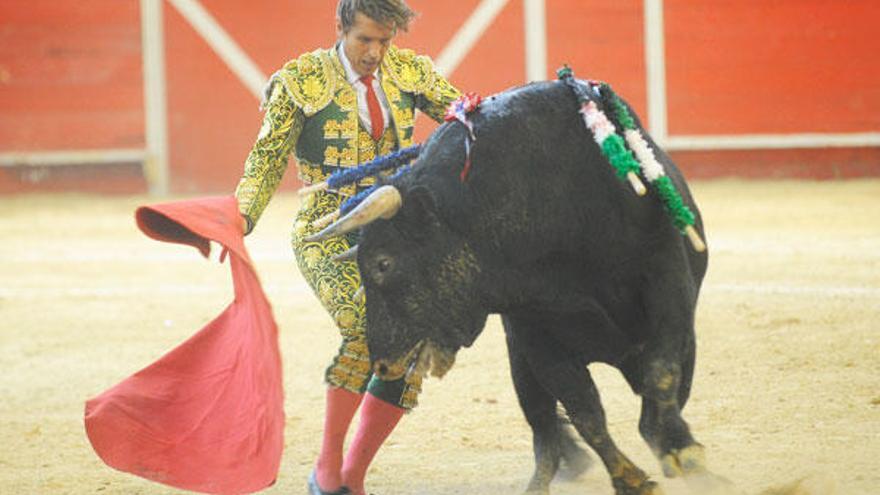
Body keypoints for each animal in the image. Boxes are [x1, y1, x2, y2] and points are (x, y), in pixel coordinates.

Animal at [310, 81, 716, 495]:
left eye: (383, 263)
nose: (382, 363)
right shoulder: (533, 331)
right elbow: (585, 412)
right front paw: (631, 479)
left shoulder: (666, 280)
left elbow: (661, 373)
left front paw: (681, 452)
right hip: (521, 366)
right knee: (546, 433)